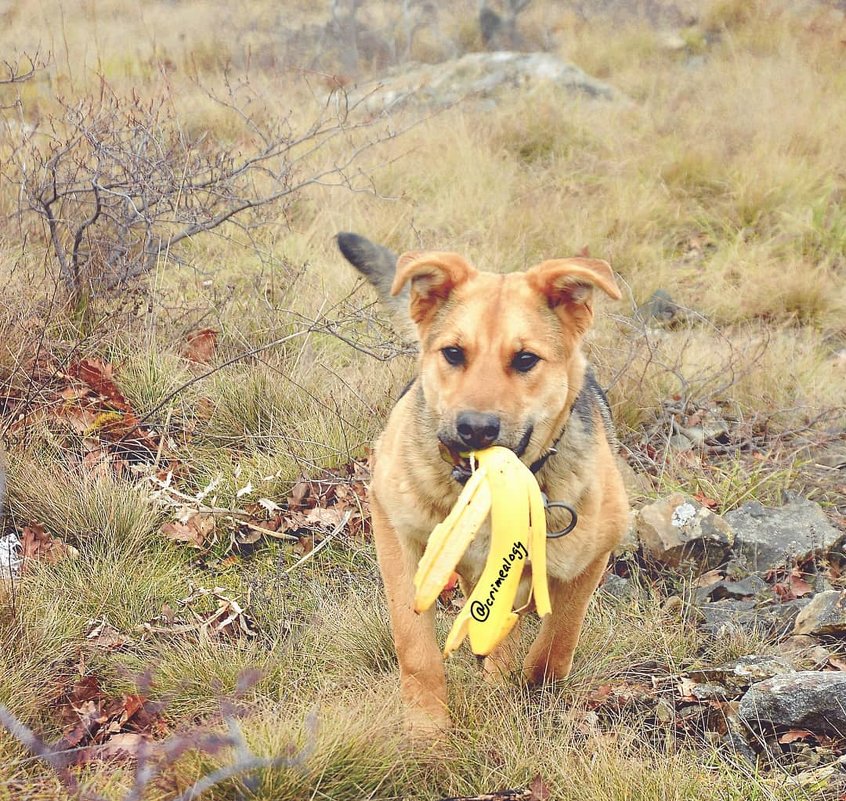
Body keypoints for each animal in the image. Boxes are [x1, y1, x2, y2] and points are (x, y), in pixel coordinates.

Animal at [338, 230, 628, 732]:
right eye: (453, 353)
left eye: (526, 359)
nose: (474, 429)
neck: (492, 489)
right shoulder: (393, 527)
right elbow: (414, 645)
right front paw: (427, 728)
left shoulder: (592, 556)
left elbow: (557, 642)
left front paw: (528, 690)